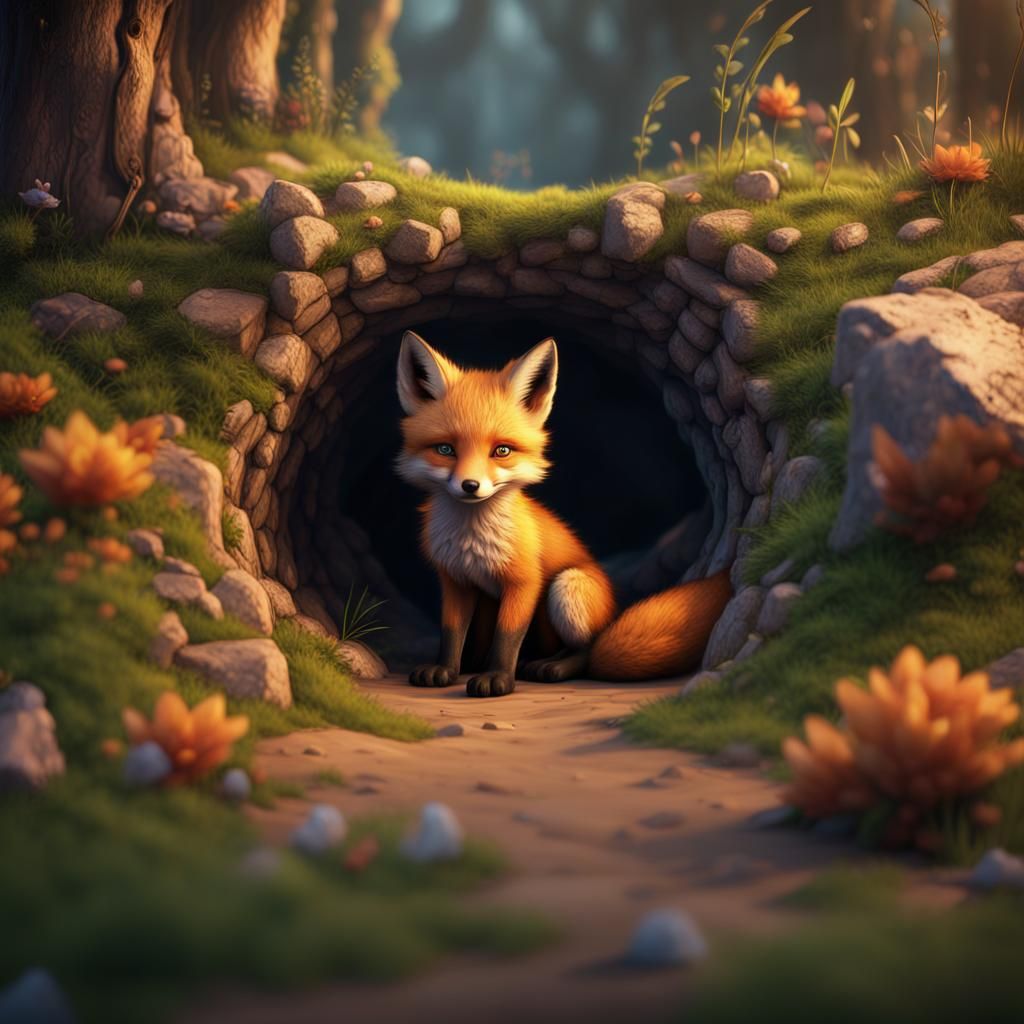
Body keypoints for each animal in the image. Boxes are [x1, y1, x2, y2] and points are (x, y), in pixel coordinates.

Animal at [395, 330, 733, 698]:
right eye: (446, 449)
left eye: (501, 451)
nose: (470, 486)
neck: (472, 542)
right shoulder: (457, 581)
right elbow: (452, 633)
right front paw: (446, 669)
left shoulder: (524, 582)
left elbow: (507, 637)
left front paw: (497, 678)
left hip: (565, 586)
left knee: (587, 652)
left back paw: (551, 667)